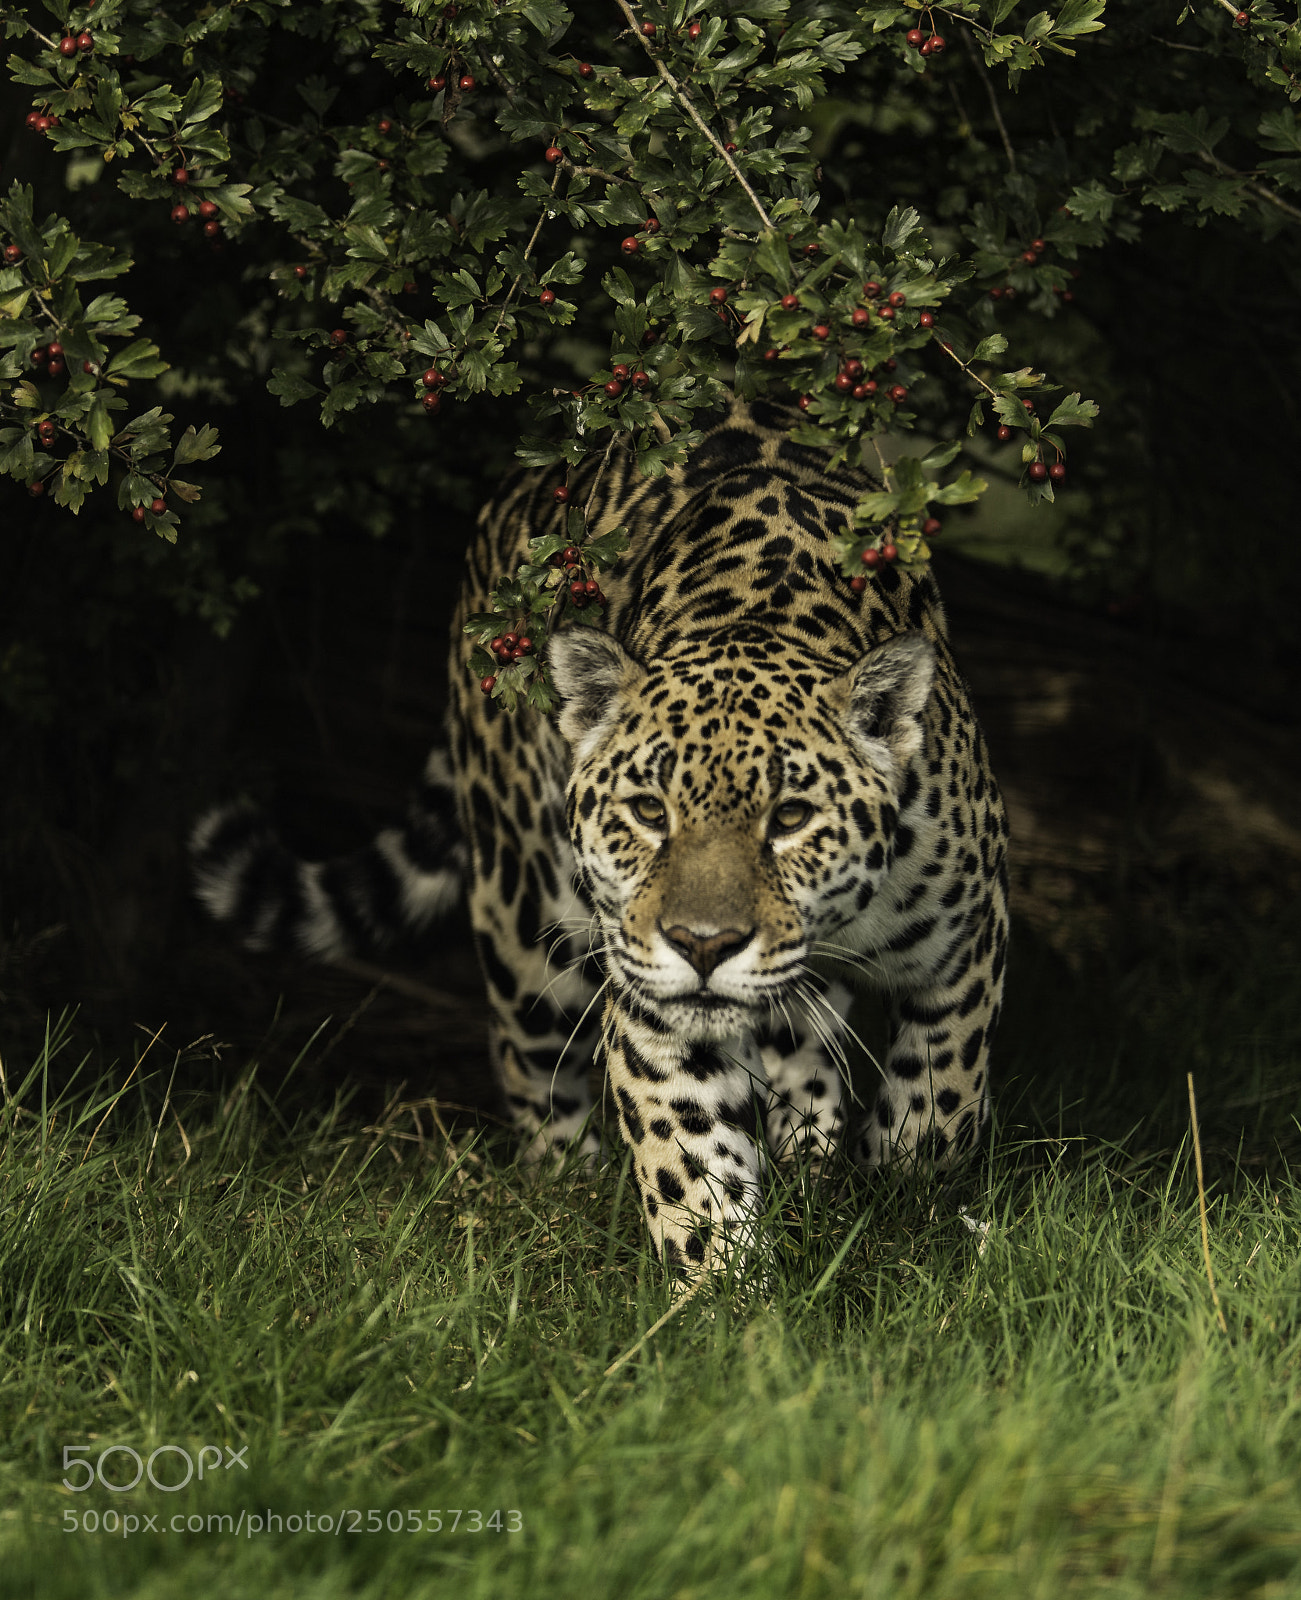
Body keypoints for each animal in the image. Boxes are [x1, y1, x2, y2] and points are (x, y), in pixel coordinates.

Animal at [193, 398, 1010, 1279]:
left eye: (790, 818)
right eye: (649, 811)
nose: (703, 945)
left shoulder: (969, 939)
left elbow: (941, 1097)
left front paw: (902, 1202)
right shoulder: (654, 1004)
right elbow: (691, 1163)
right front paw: (729, 1294)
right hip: (525, 914)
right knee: (531, 1065)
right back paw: (566, 1193)